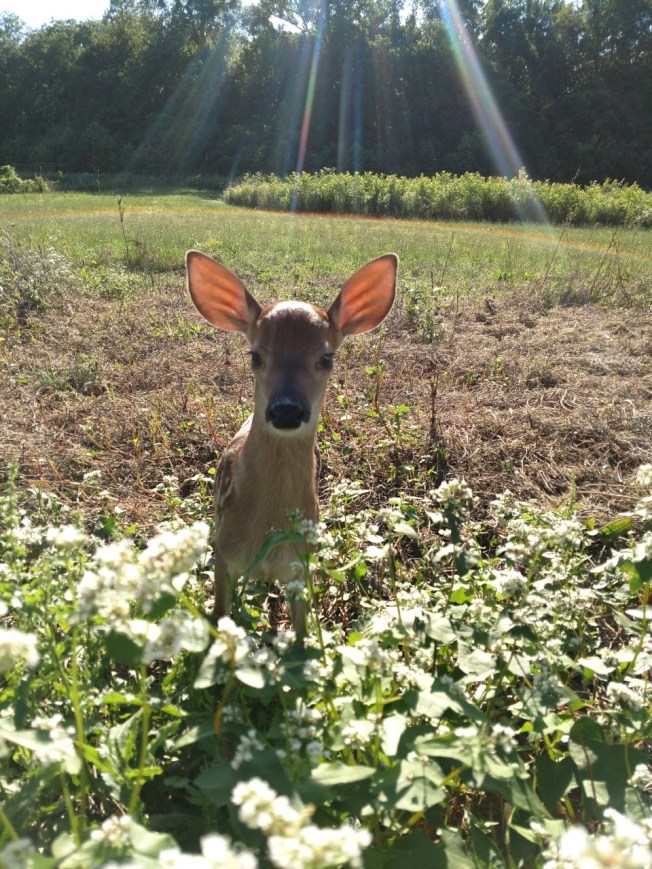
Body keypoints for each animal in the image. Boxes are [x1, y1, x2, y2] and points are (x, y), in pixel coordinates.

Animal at [186, 250, 398, 634]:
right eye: (255, 355)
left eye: (327, 358)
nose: (286, 410)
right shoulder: (223, 551)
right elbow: (221, 614)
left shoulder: (303, 565)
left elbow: (301, 632)